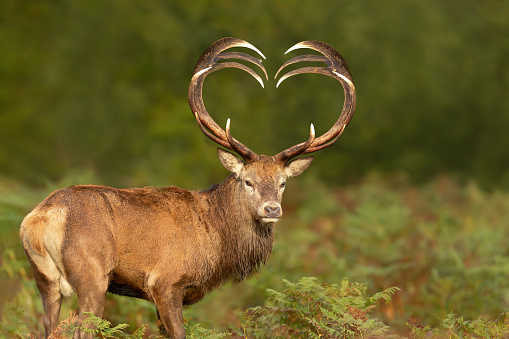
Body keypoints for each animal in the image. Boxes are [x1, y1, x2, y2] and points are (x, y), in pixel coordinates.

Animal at [18, 37, 354, 339]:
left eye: (283, 182)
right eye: (248, 180)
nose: (272, 209)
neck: (217, 240)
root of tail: (41, 218)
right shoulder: (165, 282)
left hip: (44, 279)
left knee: (47, 325)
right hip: (92, 276)